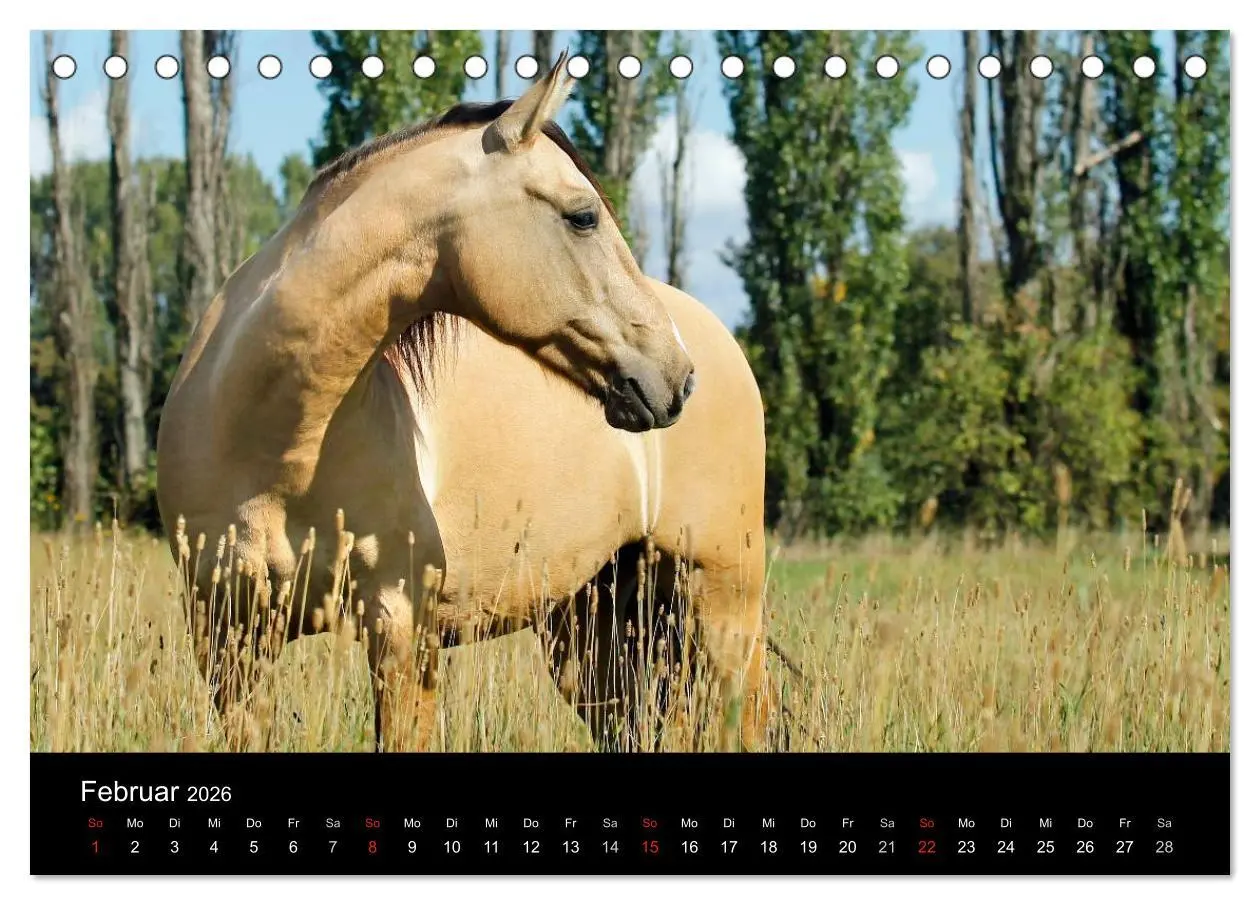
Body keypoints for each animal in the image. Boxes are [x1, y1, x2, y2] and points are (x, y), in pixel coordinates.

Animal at [155, 54, 773, 753]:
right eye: (583, 215)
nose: (676, 378)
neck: (274, 444)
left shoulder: (400, 629)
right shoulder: (226, 639)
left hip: (723, 603)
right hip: (593, 630)